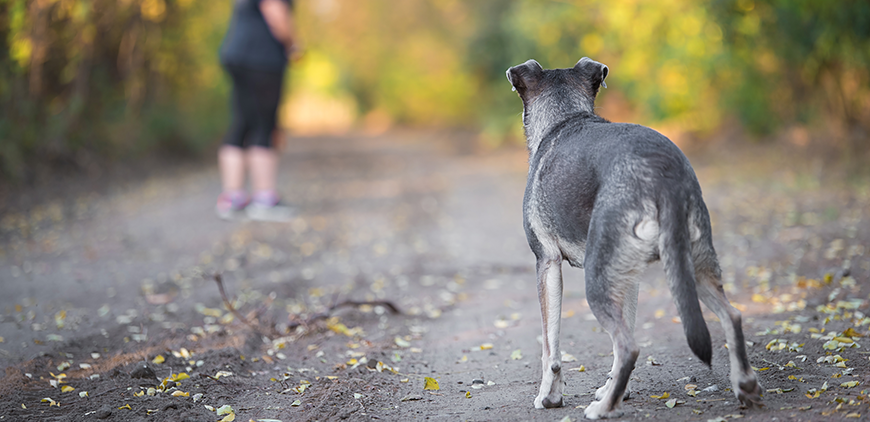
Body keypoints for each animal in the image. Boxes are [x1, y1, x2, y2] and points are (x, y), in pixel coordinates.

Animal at [508, 58, 760, 418]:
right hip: (689, 266)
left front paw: (550, 396)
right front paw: (616, 389)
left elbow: (550, 346)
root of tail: (661, 174)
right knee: (732, 316)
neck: (564, 118)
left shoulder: (547, 262)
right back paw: (745, 385)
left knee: (628, 346)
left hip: (598, 280)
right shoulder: (629, 276)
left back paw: (602, 409)